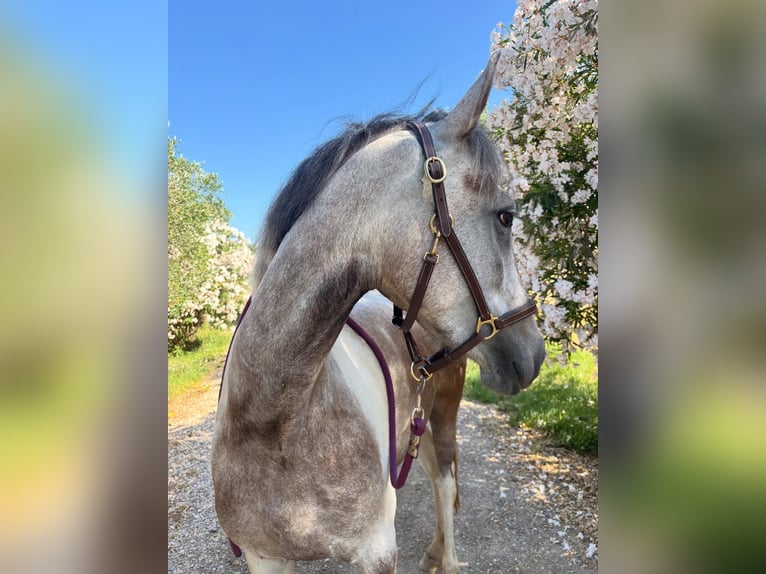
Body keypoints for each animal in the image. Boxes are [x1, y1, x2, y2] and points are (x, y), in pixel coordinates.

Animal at [211, 51, 546, 574]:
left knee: (443, 483)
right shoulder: (265, 558)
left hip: (443, 420)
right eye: (506, 216)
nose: (534, 353)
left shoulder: (377, 552)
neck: (273, 423)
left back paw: (444, 556)